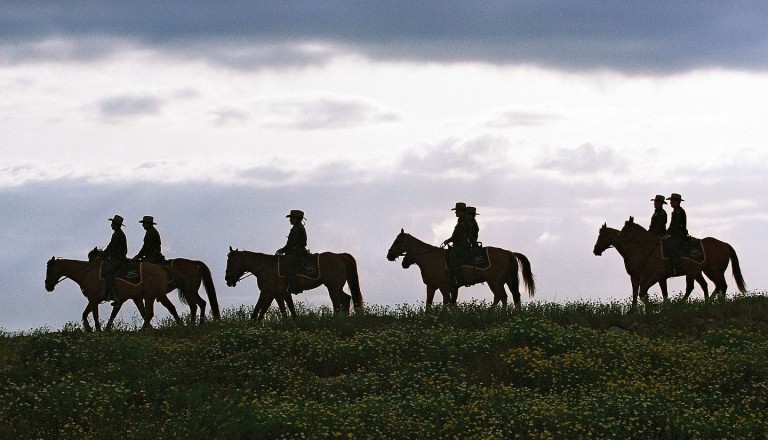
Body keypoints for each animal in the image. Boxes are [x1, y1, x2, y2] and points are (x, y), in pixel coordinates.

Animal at [45, 256, 182, 332]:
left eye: (49, 270)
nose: (47, 286)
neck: (87, 272)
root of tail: (161, 268)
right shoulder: (96, 300)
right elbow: (86, 314)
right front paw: (91, 329)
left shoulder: (94, 299)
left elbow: (94, 315)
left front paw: (98, 330)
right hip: (152, 296)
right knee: (163, 310)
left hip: (154, 295)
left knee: (153, 312)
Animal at [225, 248, 364, 320]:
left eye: (230, 261)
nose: (227, 279)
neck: (265, 266)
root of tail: (340, 256)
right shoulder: (279, 294)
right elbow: (286, 310)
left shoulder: (267, 292)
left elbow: (260, 308)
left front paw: (253, 323)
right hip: (335, 287)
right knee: (345, 299)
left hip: (333, 287)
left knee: (339, 302)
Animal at [384, 230, 536, 310]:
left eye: (397, 241)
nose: (389, 255)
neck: (431, 258)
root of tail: (508, 252)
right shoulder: (432, 286)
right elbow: (430, 303)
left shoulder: (444, 287)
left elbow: (446, 303)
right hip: (508, 281)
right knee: (513, 296)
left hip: (495, 281)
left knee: (502, 296)